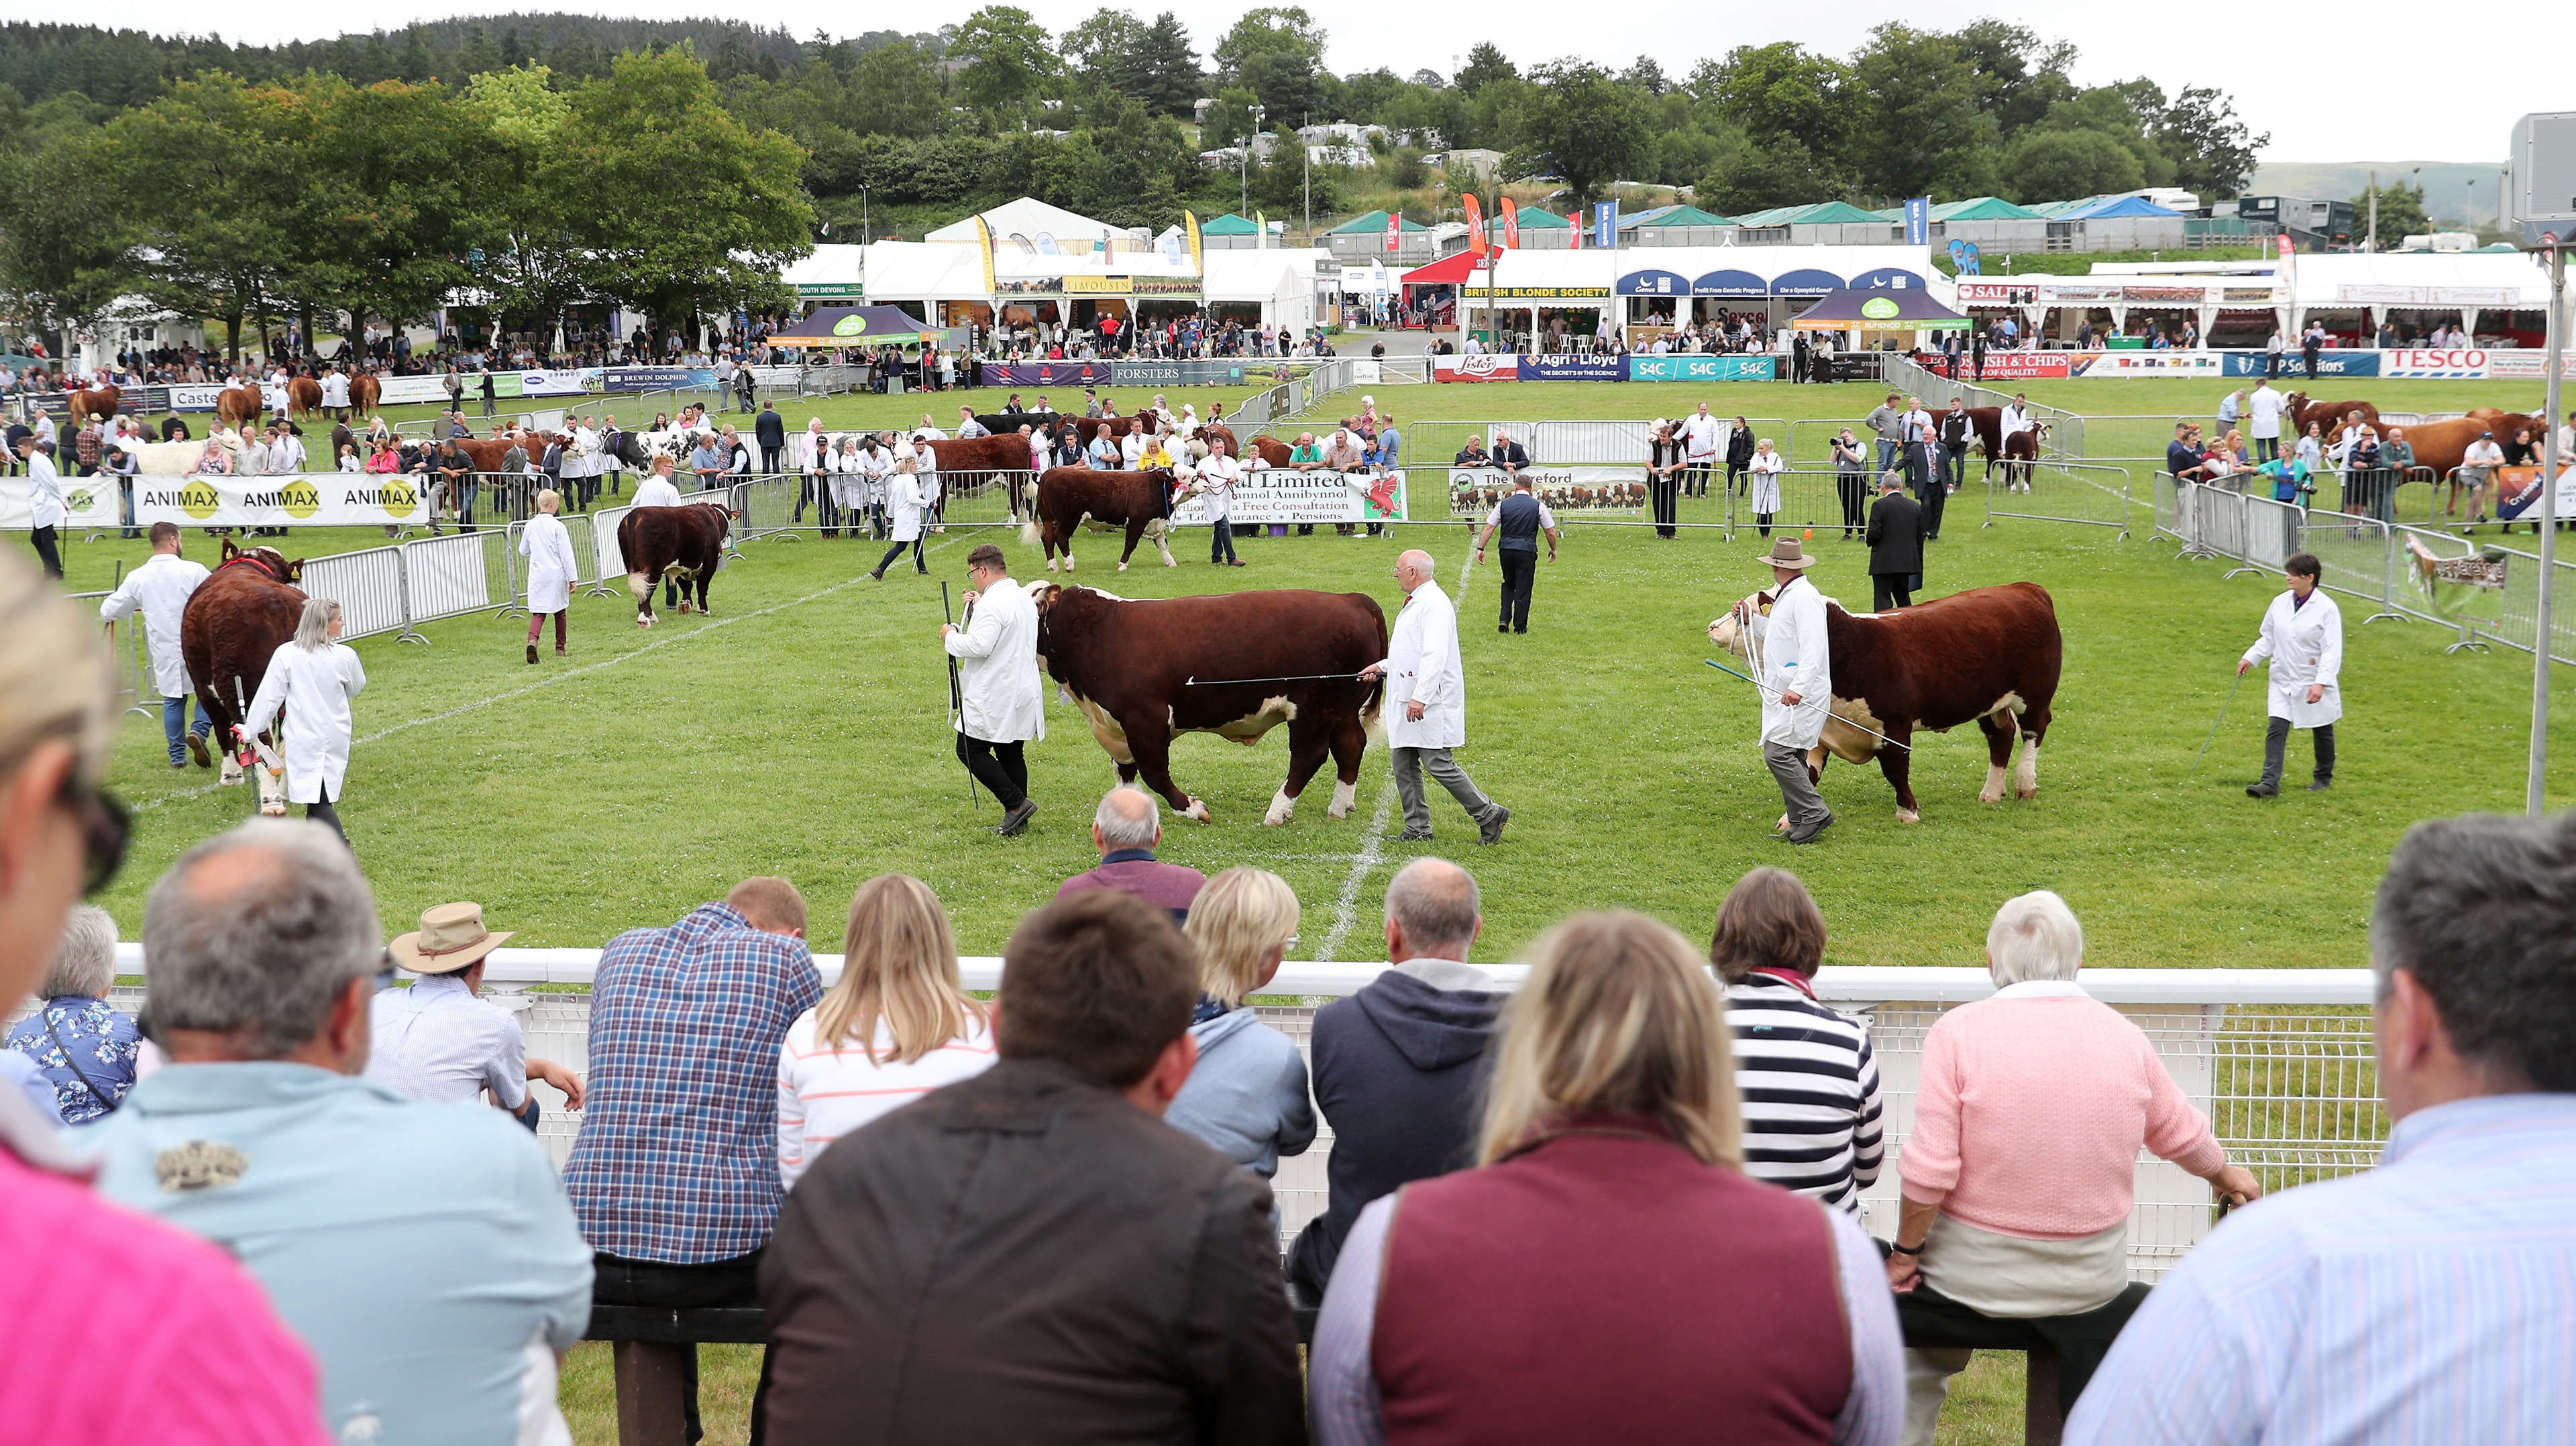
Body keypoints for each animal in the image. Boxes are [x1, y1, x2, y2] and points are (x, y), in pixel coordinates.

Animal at [180, 541, 305, 814]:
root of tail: (277, 604)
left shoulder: (202, 685)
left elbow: (220, 726)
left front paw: (231, 775)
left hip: (241, 685)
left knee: (260, 737)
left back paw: (271, 801)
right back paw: (286, 791)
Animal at [621, 500, 737, 624]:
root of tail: (636, 513)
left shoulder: (679, 564)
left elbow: (686, 585)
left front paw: (685, 605)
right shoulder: (710, 563)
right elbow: (702, 587)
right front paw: (703, 610)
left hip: (633, 567)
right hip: (654, 567)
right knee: (647, 590)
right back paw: (645, 619)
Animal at [1025, 463, 1185, 572]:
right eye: (1183, 477)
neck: (1154, 487)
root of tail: (1052, 472)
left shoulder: (1155, 523)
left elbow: (1162, 544)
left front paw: (1170, 562)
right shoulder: (1137, 523)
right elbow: (1131, 544)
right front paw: (1122, 565)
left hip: (1048, 519)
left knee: (1047, 538)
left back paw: (1053, 566)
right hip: (1069, 519)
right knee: (1060, 537)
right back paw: (1069, 564)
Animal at [1025, 577, 1391, 824]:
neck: (1098, 634)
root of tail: (1351, 600)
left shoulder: (1146, 718)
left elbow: (1154, 772)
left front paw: (1192, 808)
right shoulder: (1114, 725)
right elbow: (1124, 771)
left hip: (1313, 709)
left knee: (1308, 757)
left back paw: (1278, 811)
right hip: (1341, 709)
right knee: (1350, 745)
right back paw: (1340, 806)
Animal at [1710, 577, 2071, 824]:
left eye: (1747, 613)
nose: (1713, 626)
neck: (1850, 648)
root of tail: (2024, 587)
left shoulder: (1895, 725)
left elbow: (1896, 769)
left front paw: (1908, 811)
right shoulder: (1821, 727)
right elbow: (1807, 774)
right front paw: (1790, 820)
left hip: (2034, 695)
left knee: (2034, 732)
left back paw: (2025, 784)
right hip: (1989, 700)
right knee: (2001, 736)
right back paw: (1992, 793)